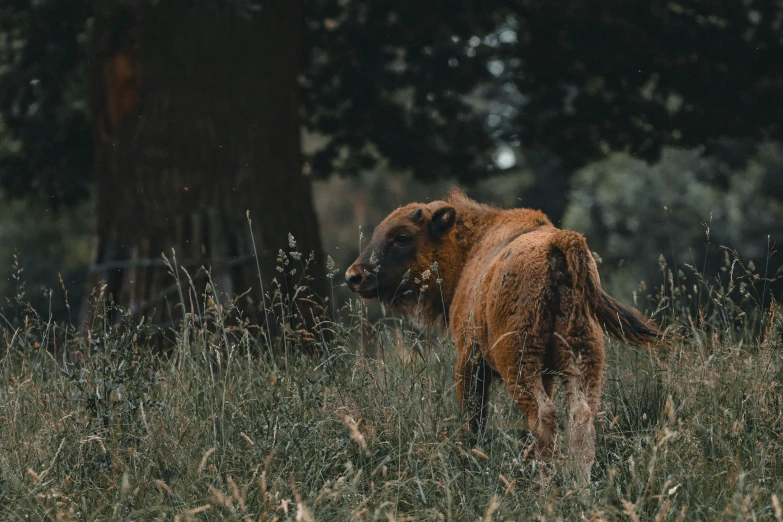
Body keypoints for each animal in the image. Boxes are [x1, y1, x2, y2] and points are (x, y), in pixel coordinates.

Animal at [346, 187, 660, 480]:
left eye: (402, 237)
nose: (354, 276)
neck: (470, 248)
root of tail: (558, 244)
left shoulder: (469, 360)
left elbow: (473, 419)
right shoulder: (545, 374)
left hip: (519, 363)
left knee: (544, 418)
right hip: (581, 359)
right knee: (579, 418)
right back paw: (578, 485)